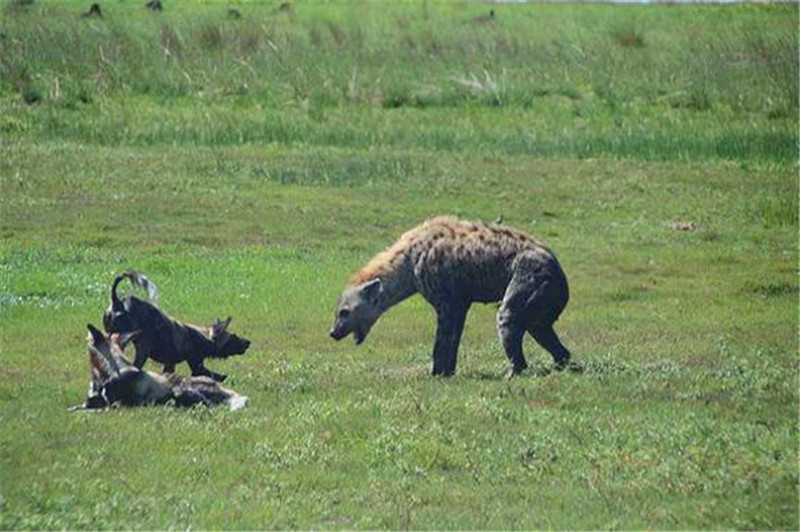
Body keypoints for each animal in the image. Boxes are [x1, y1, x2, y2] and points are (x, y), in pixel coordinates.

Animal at [70, 324, 248, 412]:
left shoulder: (115, 406)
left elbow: (91, 409)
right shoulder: (90, 402)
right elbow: (79, 407)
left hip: (180, 390)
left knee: (208, 404)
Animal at [102, 270, 250, 382]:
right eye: (234, 336)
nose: (248, 342)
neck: (204, 337)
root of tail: (117, 302)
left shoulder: (170, 364)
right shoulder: (196, 366)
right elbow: (215, 375)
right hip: (137, 346)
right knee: (134, 365)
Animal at [328, 216, 572, 378]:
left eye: (344, 312)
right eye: (338, 312)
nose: (332, 332)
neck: (408, 261)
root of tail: (558, 268)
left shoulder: (446, 298)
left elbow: (442, 337)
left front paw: (436, 373)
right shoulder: (460, 301)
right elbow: (454, 336)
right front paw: (449, 372)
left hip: (528, 278)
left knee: (509, 316)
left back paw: (512, 372)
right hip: (544, 300)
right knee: (542, 330)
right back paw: (560, 365)